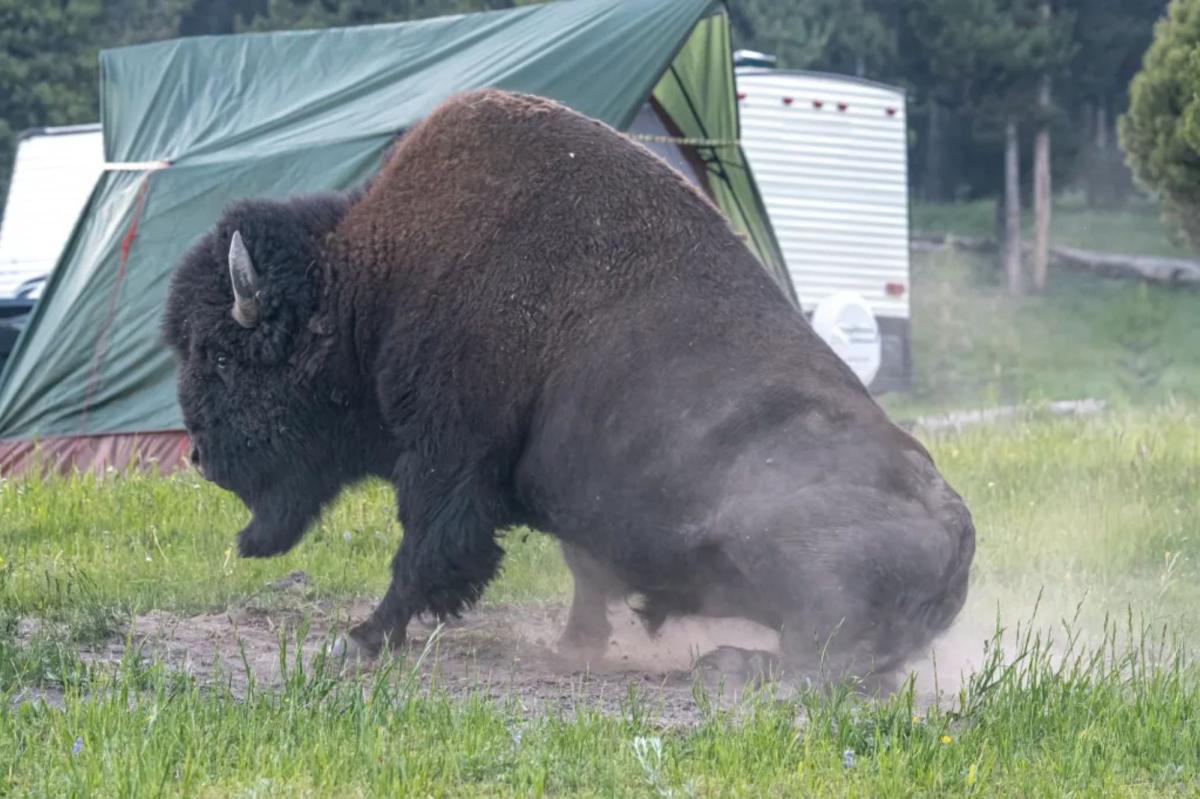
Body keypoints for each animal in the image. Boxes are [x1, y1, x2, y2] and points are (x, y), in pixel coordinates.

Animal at [161, 89, 975, 688]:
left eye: (224, 357)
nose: (198, 456)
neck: (372, 283)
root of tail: (960, 524)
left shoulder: (447, 458)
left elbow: (424, 551)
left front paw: (358, 640)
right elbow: (584, 567)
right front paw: (573, 646)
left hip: (772, 539)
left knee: (831, 660)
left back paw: (729, 665)